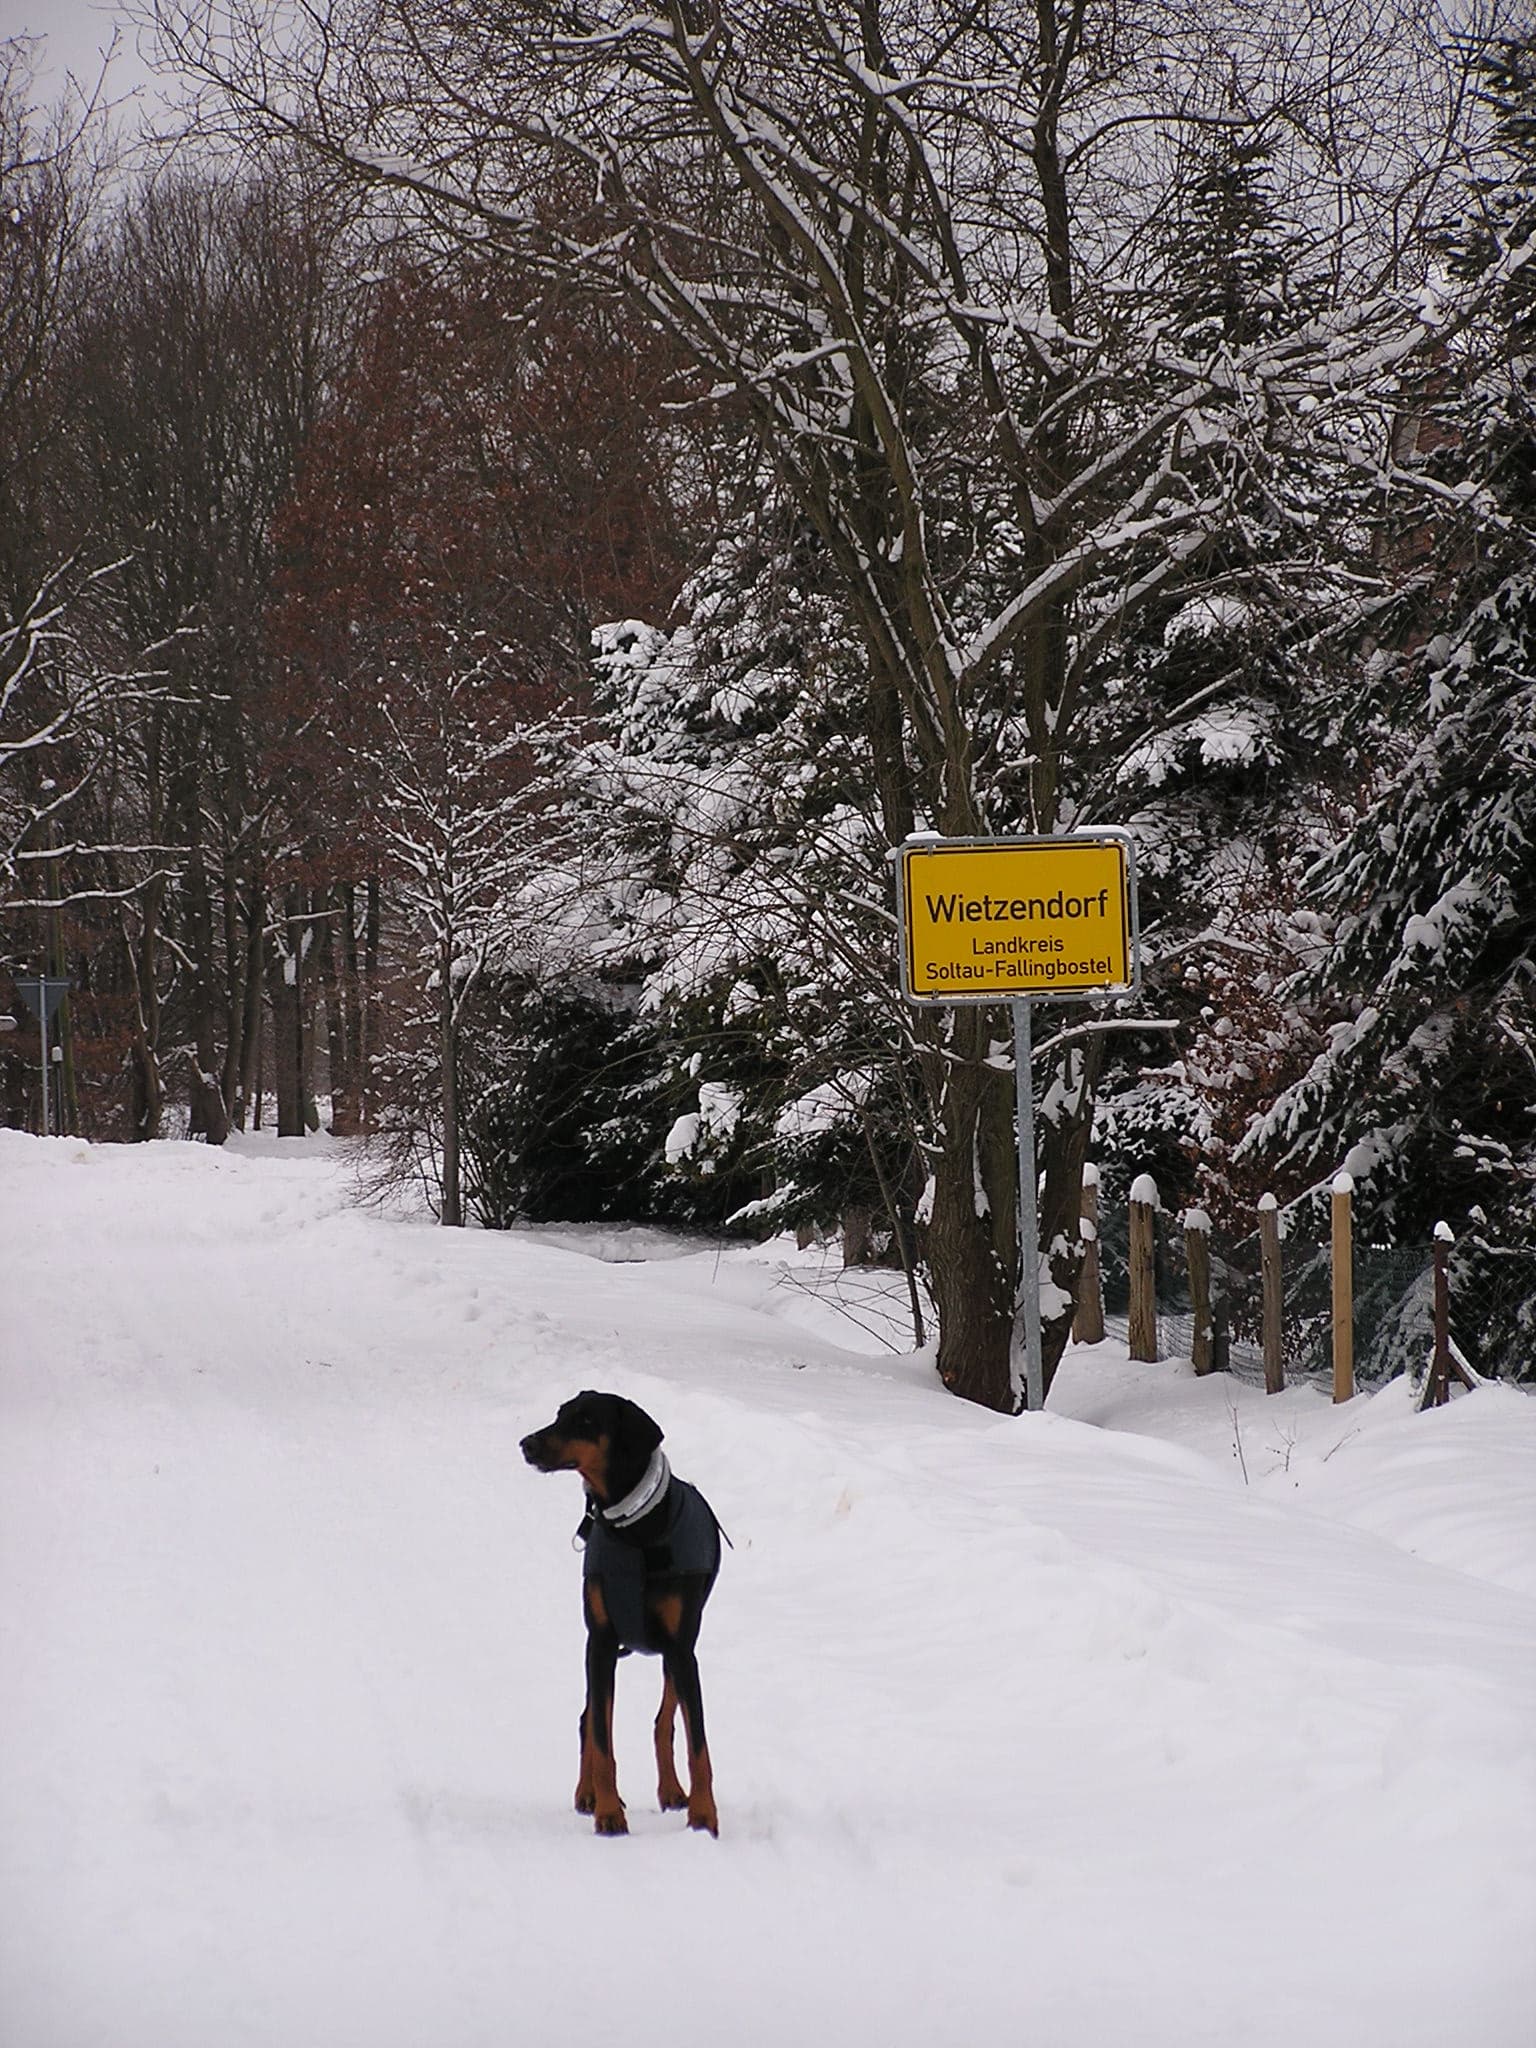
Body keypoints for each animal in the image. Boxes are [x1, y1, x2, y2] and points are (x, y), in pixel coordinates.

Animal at [520, 1392, 724, 1843]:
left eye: (585, 1420)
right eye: (560, 1414)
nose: (526, 1444)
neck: (636, 1530)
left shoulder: (683, 1648)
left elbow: (698, 1744)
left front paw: (704, 1816)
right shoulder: (598, 1641)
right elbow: (602, 1739)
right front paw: (609, 1813)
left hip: (673, 1655)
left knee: (663, 1721)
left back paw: (672, 1790)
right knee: (589, 1719)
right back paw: (587, 1793)